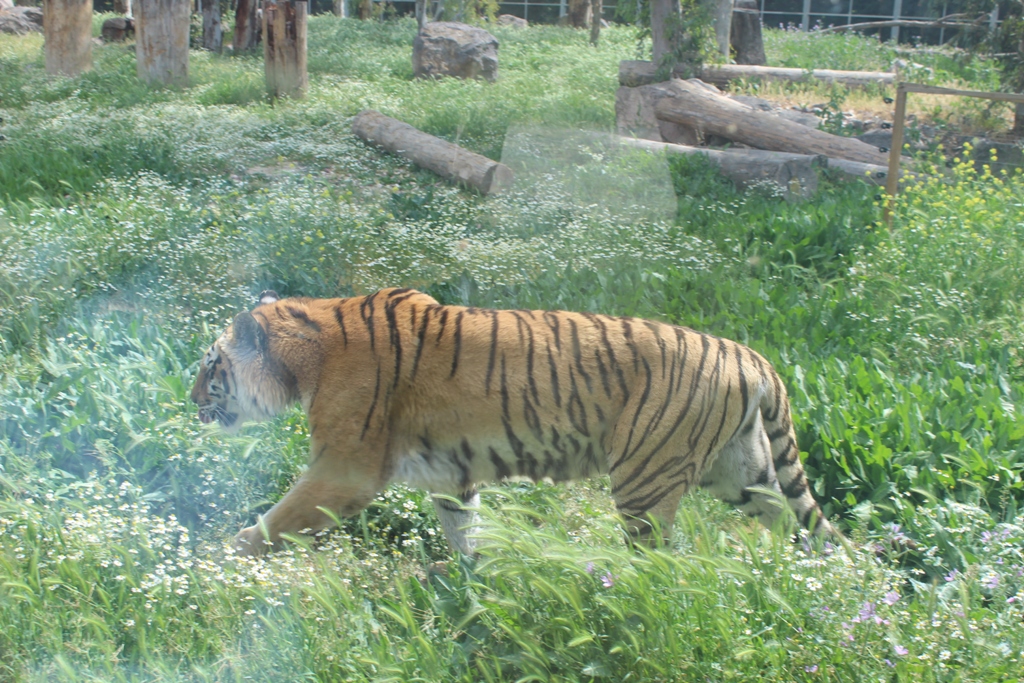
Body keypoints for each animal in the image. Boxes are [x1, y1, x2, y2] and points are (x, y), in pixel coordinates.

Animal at [190, 288, 834, 557]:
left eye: (210, 365)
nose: (192, 401)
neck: (312, 351)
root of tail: (748, 354)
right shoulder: (449, 478)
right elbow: (465, 532)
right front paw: (474, 585)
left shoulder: (342, 471)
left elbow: (273, 522)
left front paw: (220, 558)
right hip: (742, 473)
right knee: (792, 522)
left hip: (645, 481)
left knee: (657, 561)